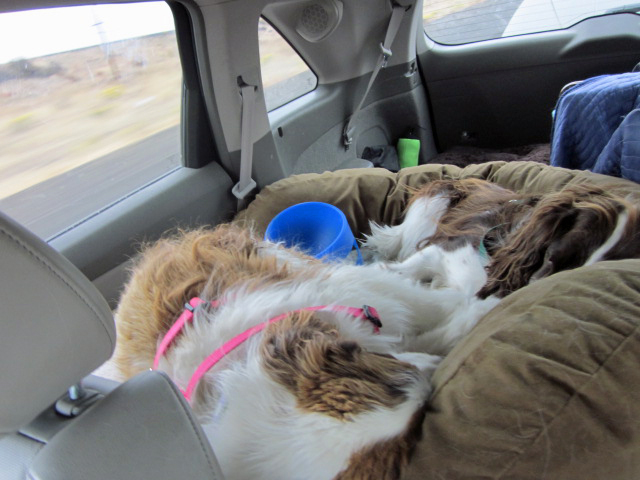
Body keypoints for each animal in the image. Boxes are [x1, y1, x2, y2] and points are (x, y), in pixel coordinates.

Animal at [112, 224, 498, 480]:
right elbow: (445, 315)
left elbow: (440, 298)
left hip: (281, 258)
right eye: (415, 426)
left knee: (400, 269)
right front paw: (471, 315)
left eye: (362, 359)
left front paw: (476, 296)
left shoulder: (350, 292)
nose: (431, 372)